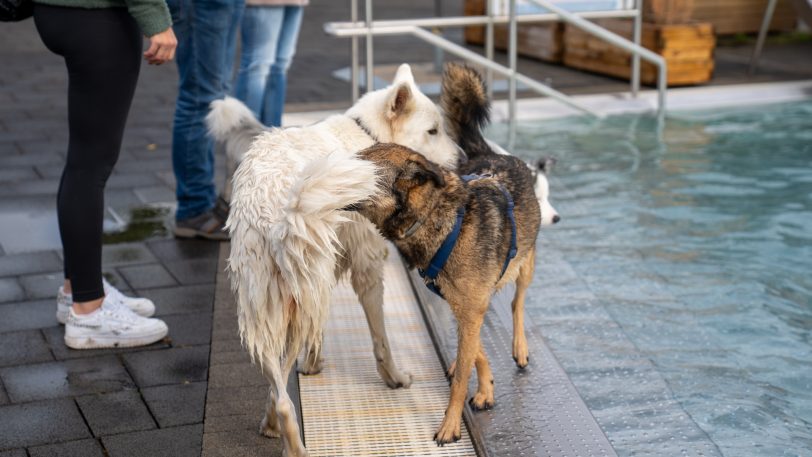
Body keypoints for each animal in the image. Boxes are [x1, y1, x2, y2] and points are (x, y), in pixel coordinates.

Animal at [206, 64, 460, 456]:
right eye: (433, 130)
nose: (461, 161)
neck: (367, 135)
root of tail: (273, 209)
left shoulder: (320, 277)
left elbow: (319, 330)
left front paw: (312, 365)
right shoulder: (368, 266)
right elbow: (381, 338)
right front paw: (394, 378)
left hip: (265, 301)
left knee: (278, 385)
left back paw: (273, 425)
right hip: (291, 298)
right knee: (284, 386)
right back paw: (293, 443)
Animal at [356, 141, 540, 444]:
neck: (435, 217)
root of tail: (491, 153)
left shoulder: (471, 308)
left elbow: (462, 378)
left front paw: (450, 424)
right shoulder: (462, 304)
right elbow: (474, 353)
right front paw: (485, 387)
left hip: (525, 262)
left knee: (518, 301)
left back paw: (520, 346)